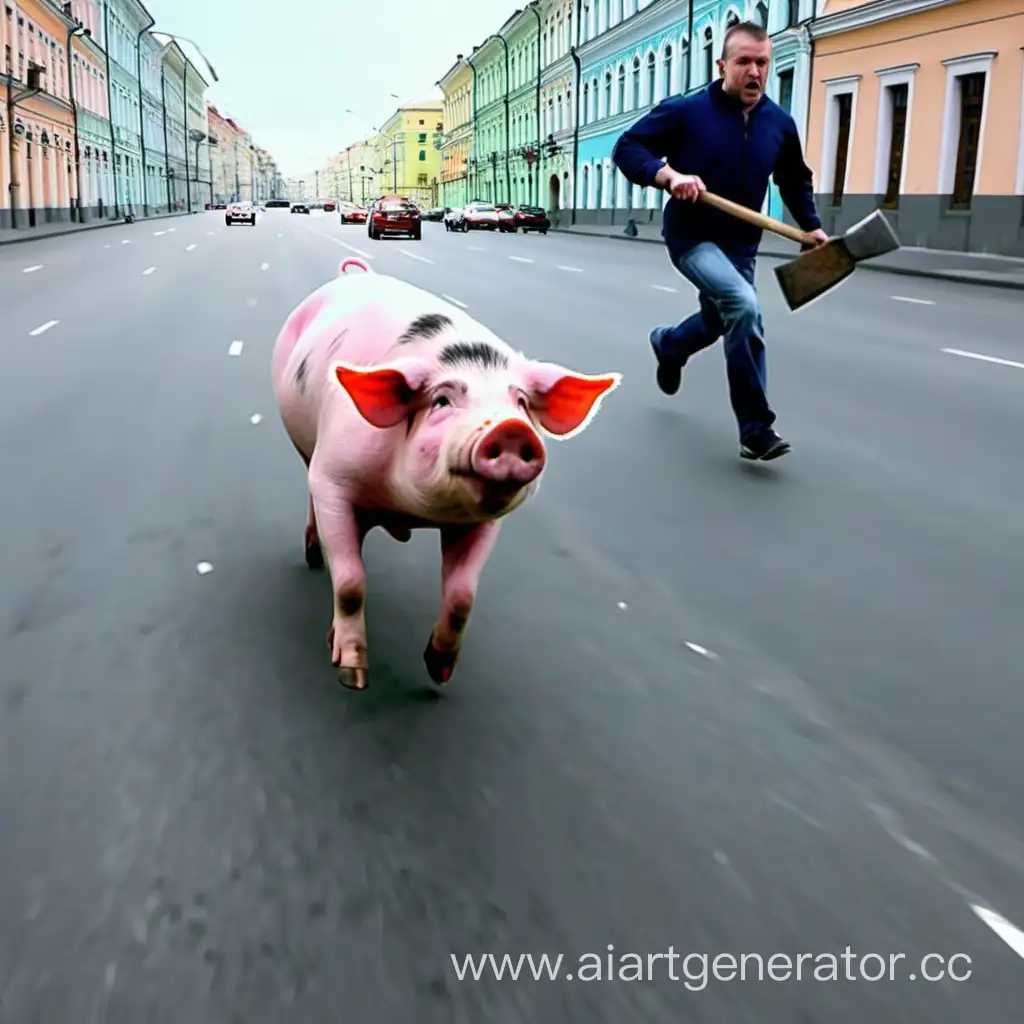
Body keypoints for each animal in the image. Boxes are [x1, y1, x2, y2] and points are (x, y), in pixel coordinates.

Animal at [272, 256, 618, 692]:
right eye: (441, 401)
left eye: (521, 403)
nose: (510, 429)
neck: (408, 511)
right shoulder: (334, 476)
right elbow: (351, 582)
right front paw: (352, 676)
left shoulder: (484, 521)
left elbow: (462, 595)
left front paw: (438, 672)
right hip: (306, 447)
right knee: (312, 500)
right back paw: (315, 557)